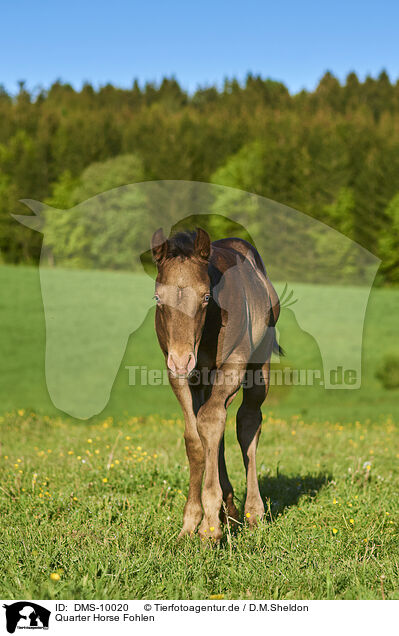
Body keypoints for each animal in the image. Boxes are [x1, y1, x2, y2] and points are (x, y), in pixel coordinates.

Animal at [151, 226, 282, 540]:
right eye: (158, 298)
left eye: (206, 297)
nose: (182, 359)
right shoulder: (179, 376)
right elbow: (195, 438)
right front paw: (191, 521)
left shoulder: (233, 364)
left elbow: (211, 421)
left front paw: (209, 527)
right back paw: (230, 509)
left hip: (258, 366)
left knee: (247, 422)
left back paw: (253, 512)